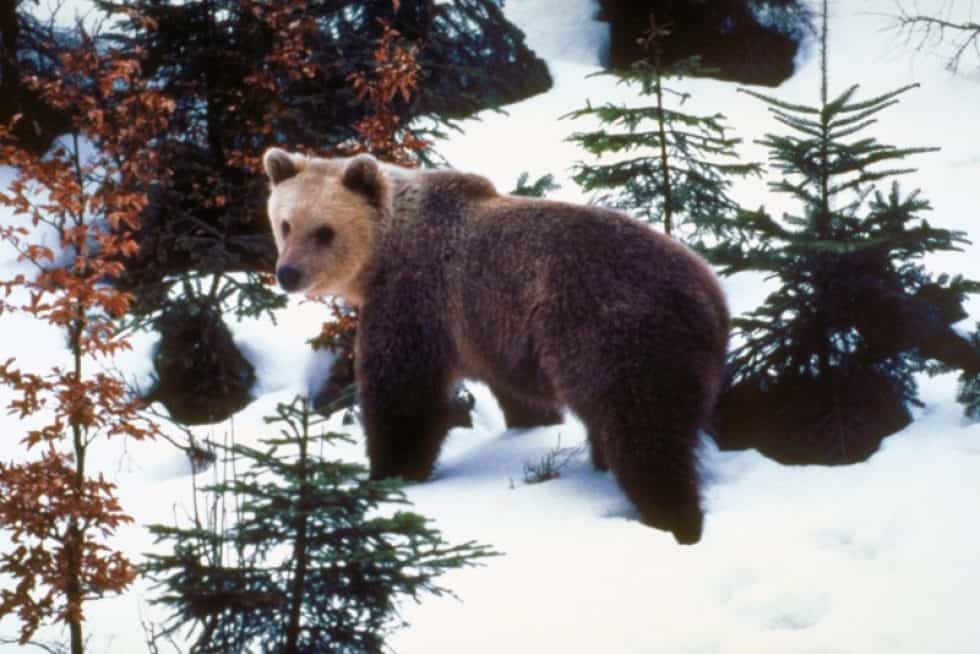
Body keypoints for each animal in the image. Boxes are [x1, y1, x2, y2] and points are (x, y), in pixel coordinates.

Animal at [260, 150, 728, 548]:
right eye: (285, 224)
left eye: (324, 231)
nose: (288, 273)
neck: (384, 254)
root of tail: (710, 293)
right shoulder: (496, 334)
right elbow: (519, 398)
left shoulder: (417, 299)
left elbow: (403, 395)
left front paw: (387, 474)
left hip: (617, 339)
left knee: (645, 434)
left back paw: (675, 521)